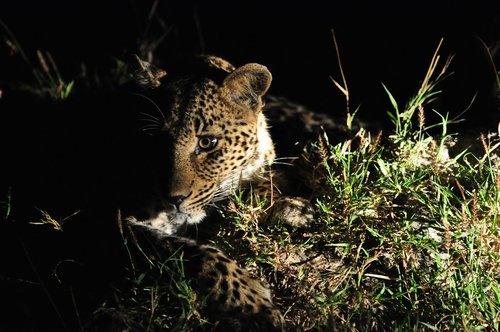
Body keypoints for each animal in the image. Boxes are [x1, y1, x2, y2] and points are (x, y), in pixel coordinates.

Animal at [122, 54, 316, 330]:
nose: (173, 199)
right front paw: (252, 305)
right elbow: (194, 253)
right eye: (156, 141)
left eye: (207, 142)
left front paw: (294, 208)